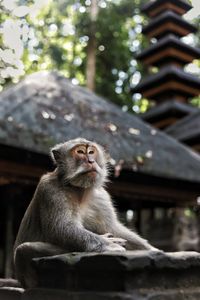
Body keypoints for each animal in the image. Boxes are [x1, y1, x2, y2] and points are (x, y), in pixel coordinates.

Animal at [13, 137, 158, 288]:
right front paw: (110, 245)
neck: (80, 189)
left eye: (91, 152)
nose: (91, 161)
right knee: (24, 249)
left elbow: (112, 228)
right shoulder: (51, 191)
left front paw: (153, 250)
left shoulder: (101, 196)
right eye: (81, 152)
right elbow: (61, 228)